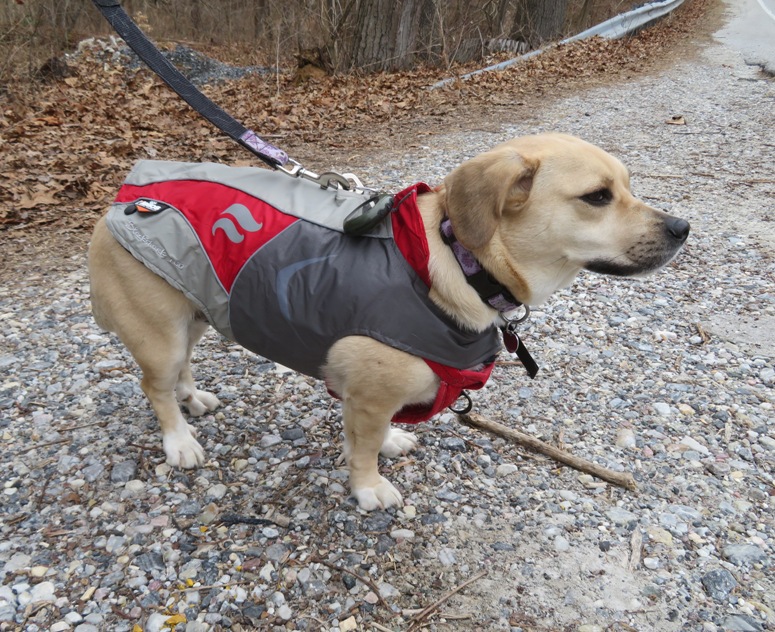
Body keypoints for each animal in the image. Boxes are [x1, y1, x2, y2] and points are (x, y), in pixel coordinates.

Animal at [89, 133, 692, 508]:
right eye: (597, 197)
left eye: (627, 187)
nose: (683, 228)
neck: (455, 262)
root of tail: (124, 197)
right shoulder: (370, 395)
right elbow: (360, 449)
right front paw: (368, 487)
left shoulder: (367, 395)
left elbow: (368, 437)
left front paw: (387, 445)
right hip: (161, 334)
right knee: (155, 385)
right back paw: (179, 440)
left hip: (196, 312)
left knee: (183, 370)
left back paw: (193, 399)